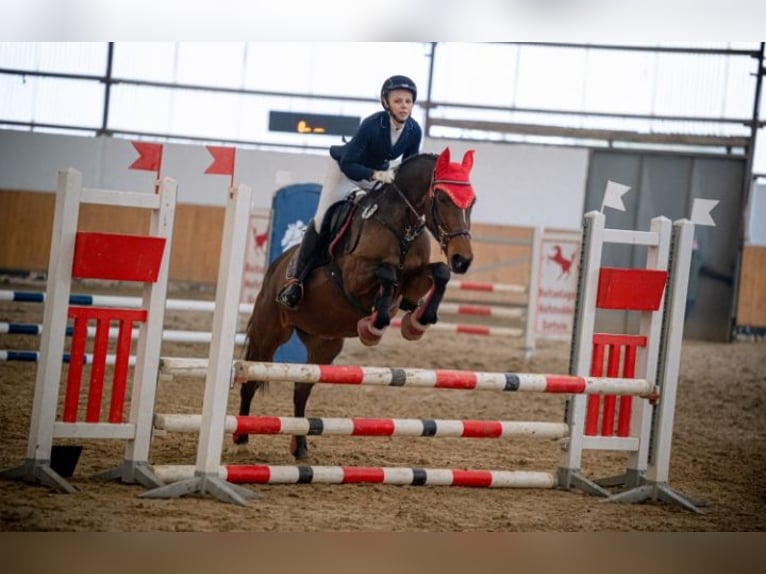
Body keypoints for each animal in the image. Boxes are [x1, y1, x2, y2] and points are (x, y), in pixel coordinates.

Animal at [237, 147, 476, 460]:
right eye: (444, 198)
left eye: (472, 201)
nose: (463, 259)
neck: (401, 226)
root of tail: (274, 269)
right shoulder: (353, 276)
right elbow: (387, 272)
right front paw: (374, 326)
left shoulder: (413, 279)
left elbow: (439, 273)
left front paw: (417, 322)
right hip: (269, 333)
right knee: (251, 378)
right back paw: (241, 437)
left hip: (324, 344)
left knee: (301, 389)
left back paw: (300, 447)